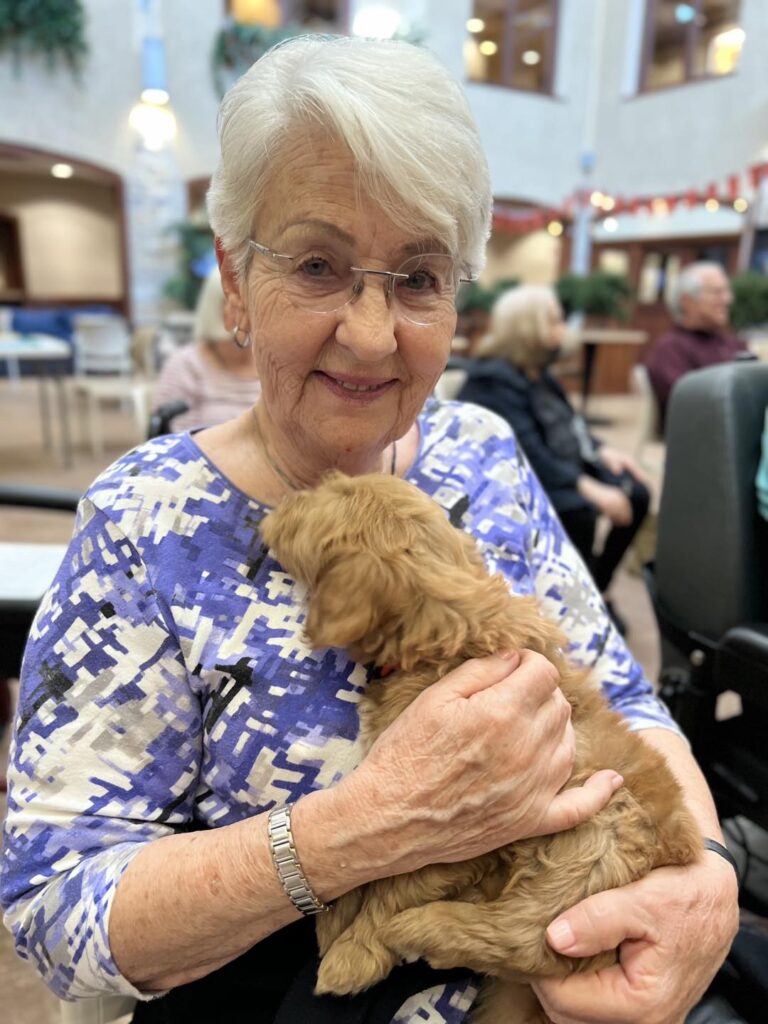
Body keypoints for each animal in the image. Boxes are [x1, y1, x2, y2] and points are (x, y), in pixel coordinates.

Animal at [262, 473, 708, 1024]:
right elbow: (365, 854)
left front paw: (353, 952)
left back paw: (421, 929)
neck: (453, 636)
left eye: (327, 496)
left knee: (528, 939)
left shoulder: (470, 834)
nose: (279, 506)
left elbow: (396, 886)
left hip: (598, 836)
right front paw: (334, 916)